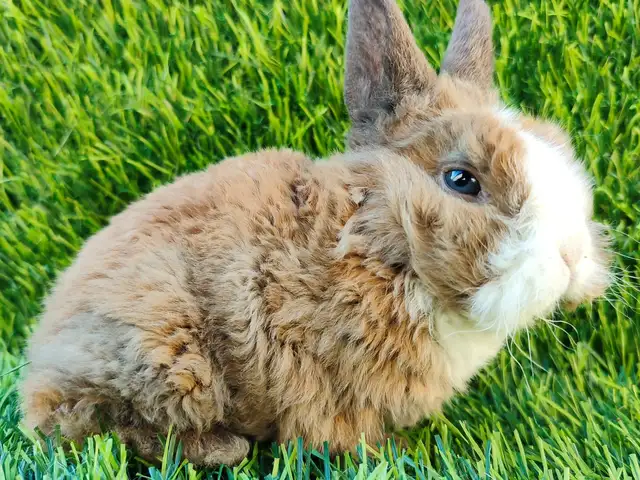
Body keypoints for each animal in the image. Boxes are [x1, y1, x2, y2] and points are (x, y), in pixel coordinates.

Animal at [20, 0, 611, 467]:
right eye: (461, 180)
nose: (572, 255)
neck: (374, 245)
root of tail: (41, 358)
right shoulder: (324, 385)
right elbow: (340, 436)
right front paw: (397, 456)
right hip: (162, 345)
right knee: (97, 426)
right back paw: (221, 448)